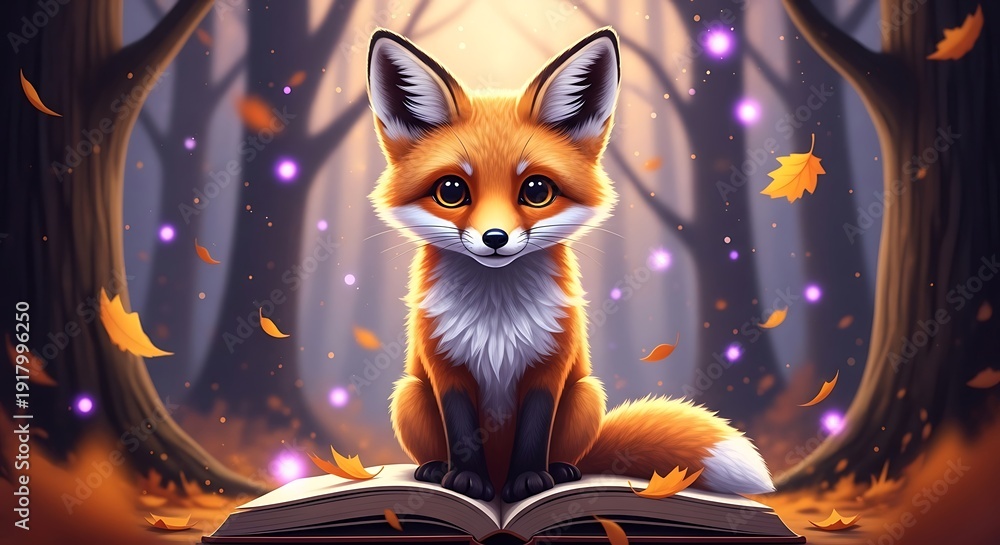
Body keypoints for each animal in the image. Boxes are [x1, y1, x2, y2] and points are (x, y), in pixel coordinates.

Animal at [366, 27, 774, 503]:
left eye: (536, 190)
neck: (496, 316)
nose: (494, 239)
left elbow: (534, 430)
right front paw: (467, 482)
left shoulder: (551, 365)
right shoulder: (446, 365)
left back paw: (559, 471)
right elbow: (463, 430)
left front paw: (529, 482)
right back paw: (436, 470)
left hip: (587, 394)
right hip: (409, 394)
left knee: (571, 453)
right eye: (451, 191)